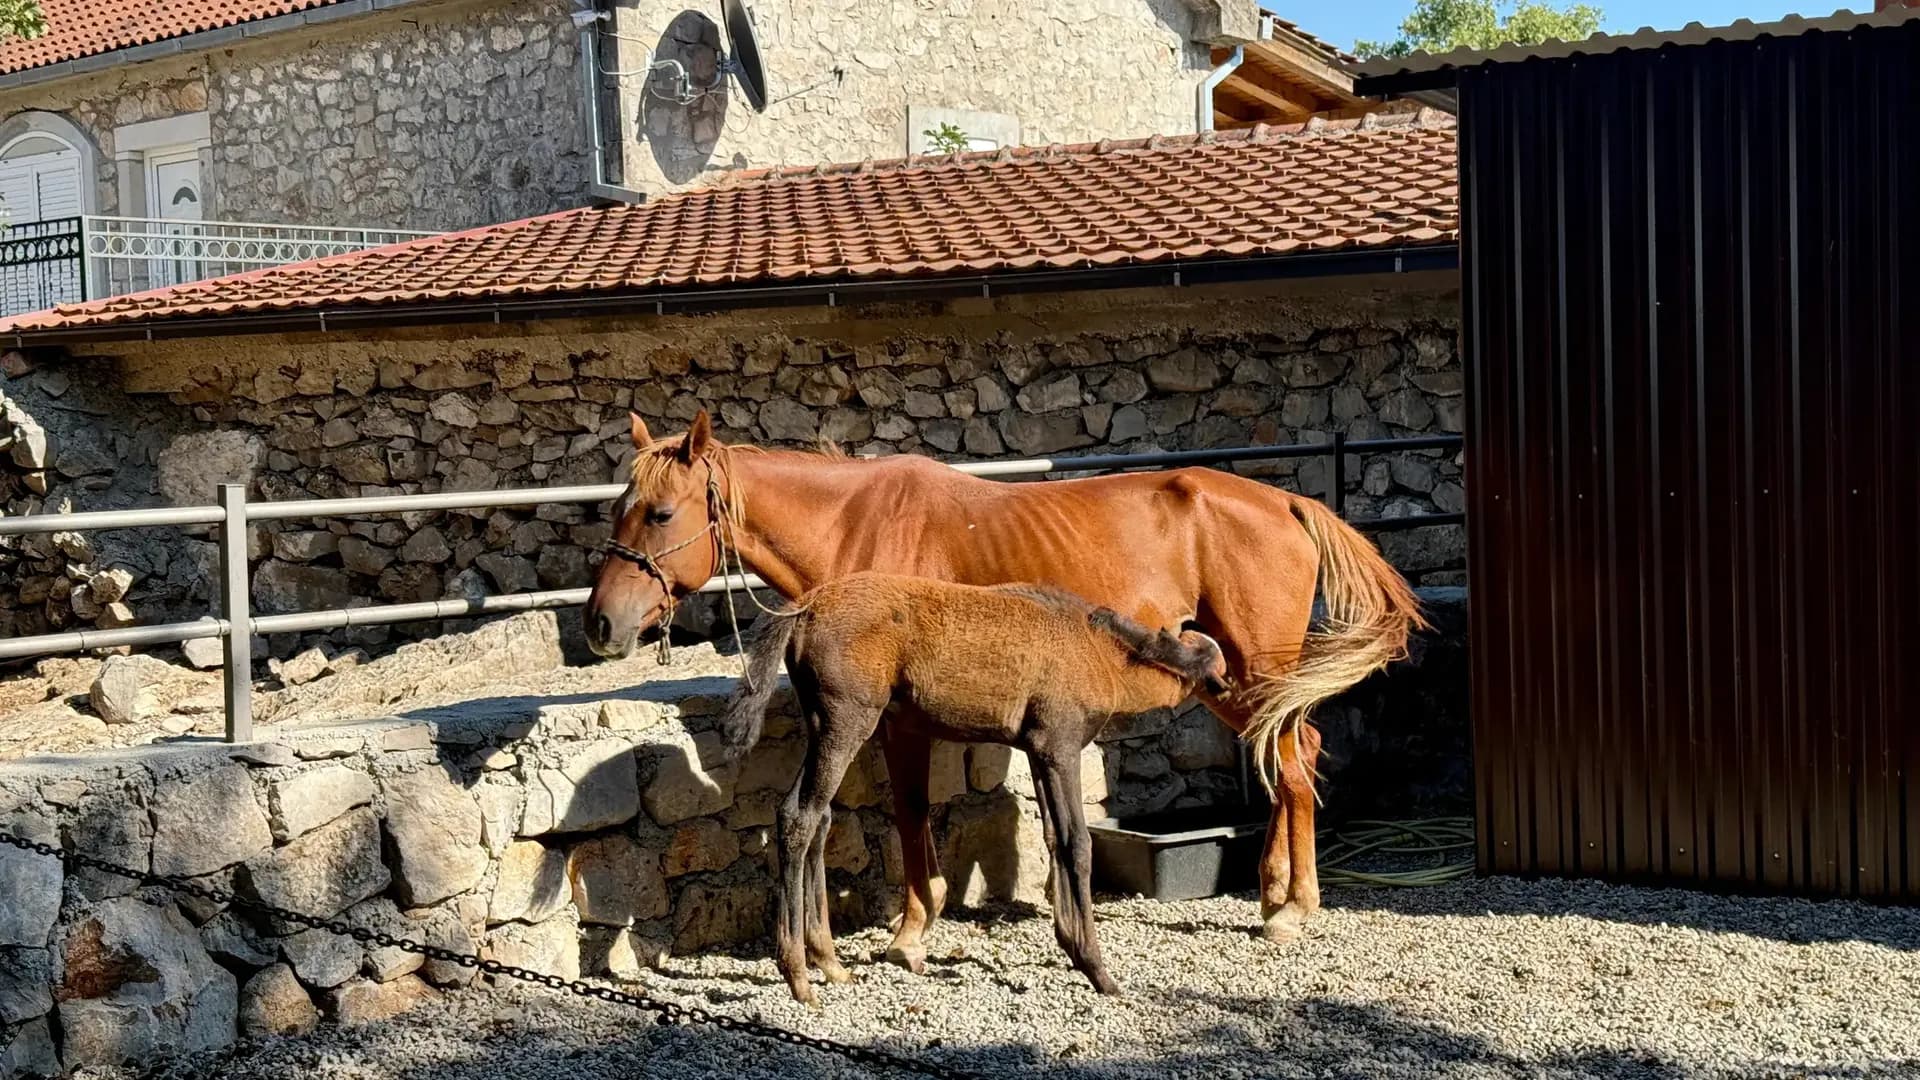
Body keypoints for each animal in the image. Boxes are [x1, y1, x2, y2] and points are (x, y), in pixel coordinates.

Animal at [585, 408, 1424, 945]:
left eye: (660, 514)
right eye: (618, 510)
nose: (600, 624)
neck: (860, 525)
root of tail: (1285, 500)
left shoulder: (901, 721)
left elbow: (913, 815)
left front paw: (912, 930)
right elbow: (911, 815)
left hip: (1255, 670)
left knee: (1293, 765)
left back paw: (1292, 909)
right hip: (1224, 677)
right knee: (1291, 756)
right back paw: (1276, 893)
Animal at [717, 571, 1229, 1003]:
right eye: (1219, 672)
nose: (1236, 690)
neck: (1098, 651)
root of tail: (804, 607)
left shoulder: (1036, 750)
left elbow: (1051, 838)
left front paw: (1070, 945)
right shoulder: (1060, 746)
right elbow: (1078, 843)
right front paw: (1097, 969)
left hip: (822, 723)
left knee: (813, 818)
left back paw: (830, 962)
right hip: (847, 721)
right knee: (801, 817)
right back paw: (798, 975)